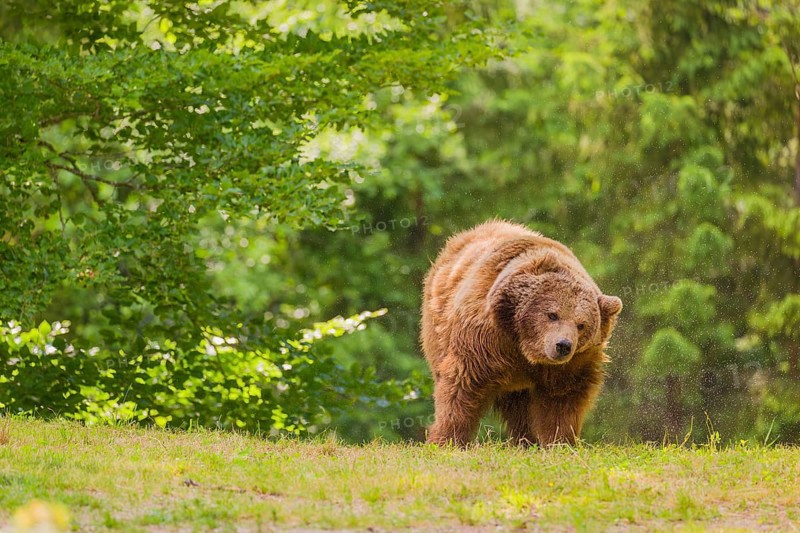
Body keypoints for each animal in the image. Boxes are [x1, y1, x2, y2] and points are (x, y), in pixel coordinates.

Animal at [421, 220, 622, 446]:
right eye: (552, 314)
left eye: (581, 324)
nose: (563, 345)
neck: (524, 347)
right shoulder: (484, 340)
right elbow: (463, 385)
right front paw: (446, 439)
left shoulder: (574, 363)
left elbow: (563, 398)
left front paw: (561, 440)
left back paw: (526, 440)